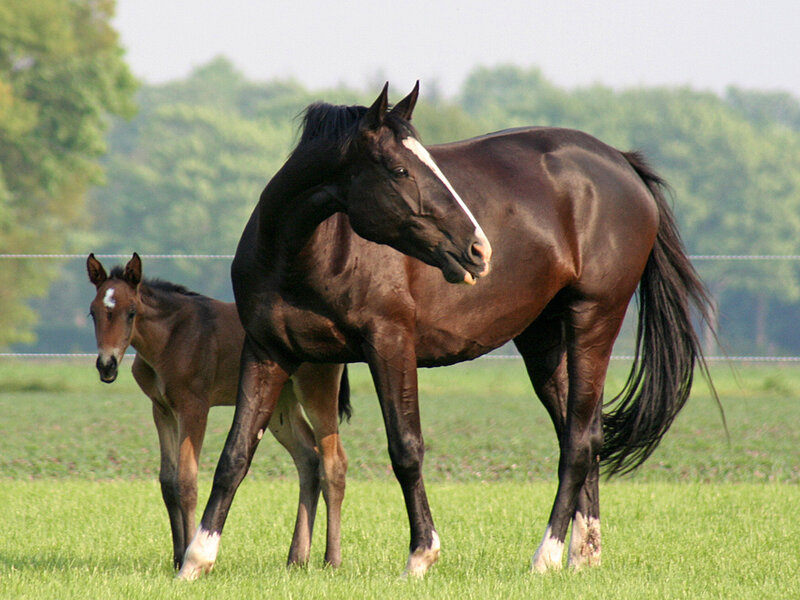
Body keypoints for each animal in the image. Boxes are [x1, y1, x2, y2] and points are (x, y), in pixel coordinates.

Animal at [86, 252, 351, 570]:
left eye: (131, 311)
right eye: (93, 313)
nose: (107, 366)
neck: (172, 336)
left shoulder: (194, 407)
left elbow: (187, 482)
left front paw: (188, 554)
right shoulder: (161, 410)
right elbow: (168, 482)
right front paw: (177, 556)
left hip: (316, 390)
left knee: (333, 463)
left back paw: (332, 560)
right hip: (280, 405)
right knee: (308, 458)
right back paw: (297, 558)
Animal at [178, 82, 713, 579]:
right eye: (399, 170)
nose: (478, 248)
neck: (304, 253)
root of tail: (622, 164)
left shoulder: (390, 344)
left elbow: (406, 449)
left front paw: (421, 555)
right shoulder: (267, 351)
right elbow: (235, 453)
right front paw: (196, 559)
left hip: (593, 319)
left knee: (579, 441)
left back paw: (547, 556)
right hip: (543, 340)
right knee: (582, 433)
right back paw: (584, 555)